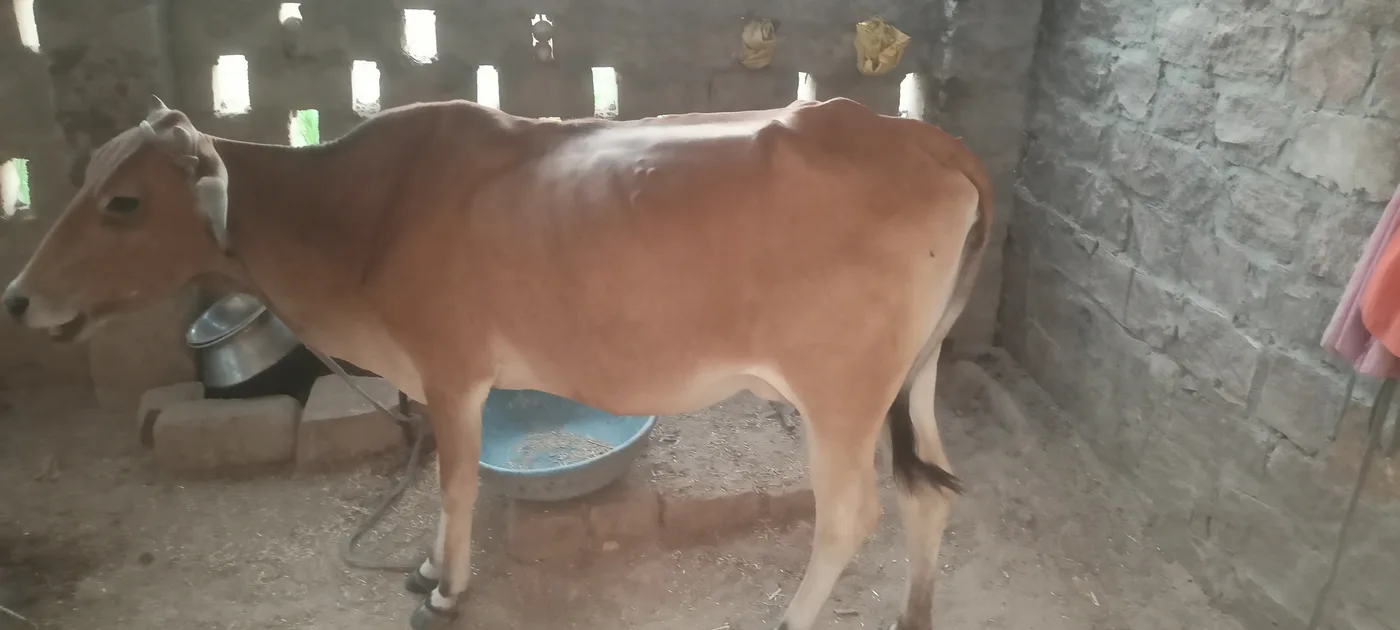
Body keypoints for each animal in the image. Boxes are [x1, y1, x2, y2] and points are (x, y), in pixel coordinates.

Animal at [2, 94, 992, 630]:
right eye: (86, 179)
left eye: (125, 202)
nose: (17, 298)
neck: (359, 215)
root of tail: (919, 136)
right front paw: (426, 568)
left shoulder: (450, 372)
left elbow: (455, 484)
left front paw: (445, 588)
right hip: (911, 382)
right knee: (930, 491)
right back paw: (915, 611)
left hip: (840, 394)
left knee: (851, 515)